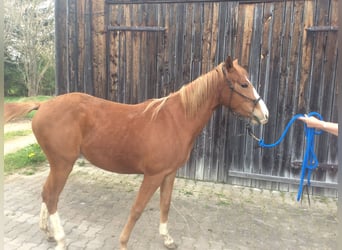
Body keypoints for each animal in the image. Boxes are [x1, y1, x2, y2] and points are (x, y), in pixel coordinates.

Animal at [4, 56, 268, 250]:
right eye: (243, 84)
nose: (264, 114)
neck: (176, 120)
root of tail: (43, 105)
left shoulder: (169, 174)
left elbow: (165, 204)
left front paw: (167, 239)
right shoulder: (153, 175)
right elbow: (138, 209)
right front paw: (123, 243)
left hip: (57, 164)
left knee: (46, 192)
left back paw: (47, 232)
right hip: (63, 164)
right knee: (52, 196)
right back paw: (60, 238)